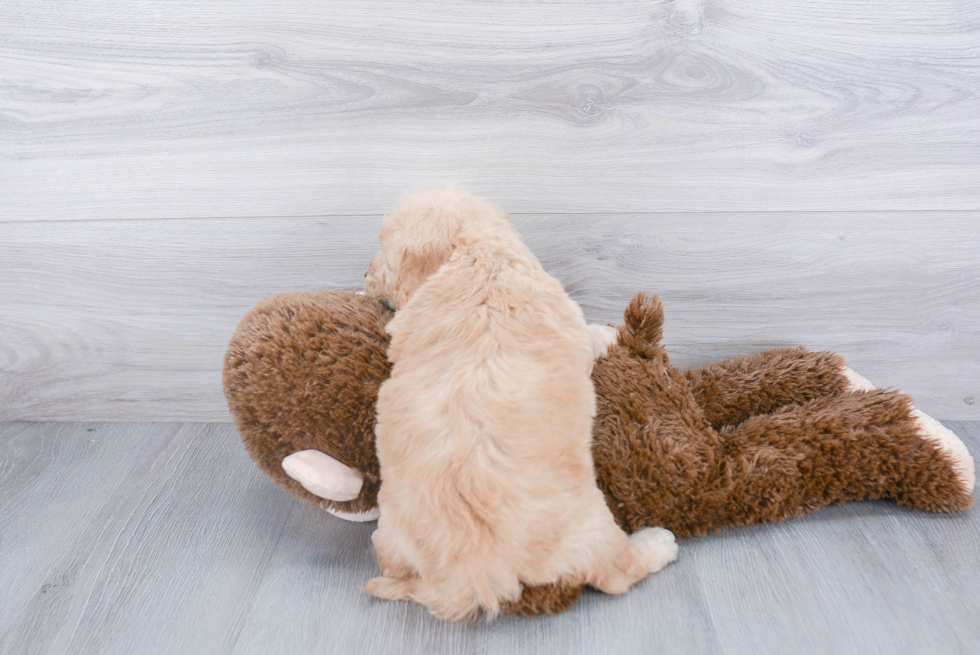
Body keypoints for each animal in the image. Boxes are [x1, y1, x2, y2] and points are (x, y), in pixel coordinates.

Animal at [364, 188, 676, 620]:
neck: (475, 254)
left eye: (385, 254)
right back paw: (659, 543)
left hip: (390, 535)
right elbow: (590, 336)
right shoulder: (570, 322)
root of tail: (474, 578)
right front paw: (608, 333)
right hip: (591, 527)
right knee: (617, 574)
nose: (365, 275)